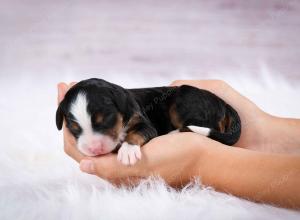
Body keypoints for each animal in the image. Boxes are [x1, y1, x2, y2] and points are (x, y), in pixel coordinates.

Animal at [55, 78, 241, 165]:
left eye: (106, 118)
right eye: (73, 126)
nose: (94, 149)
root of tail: (222, 102)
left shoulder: (145, 123)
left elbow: (136, 132)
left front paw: (128, 150)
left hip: (184, 101)